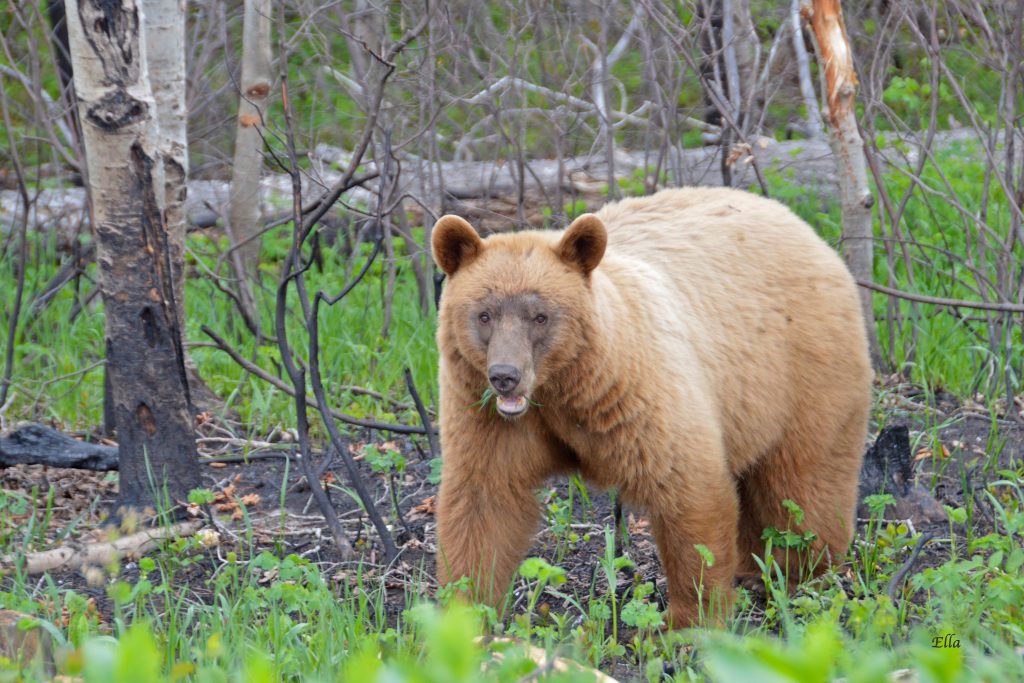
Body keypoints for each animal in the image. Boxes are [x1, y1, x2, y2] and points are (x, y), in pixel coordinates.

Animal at [431, 186, 872, 627]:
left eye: (540, 316)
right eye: (484, 314)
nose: (505, 375)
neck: (561, 388)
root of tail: (801, 225)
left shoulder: (636, 394)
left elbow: (686, 488)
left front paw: (687, 619)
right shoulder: (487, 415)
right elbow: (485, 501)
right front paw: (464, 610)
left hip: (803, 367)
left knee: (803, 479)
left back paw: (799, 570)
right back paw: (754, 568)